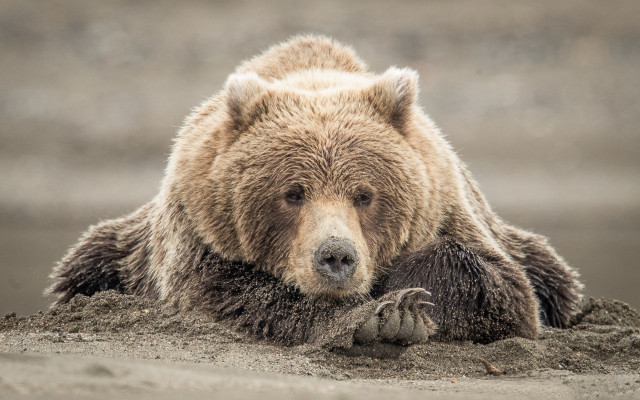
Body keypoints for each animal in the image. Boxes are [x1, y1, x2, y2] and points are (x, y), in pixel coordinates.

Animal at [46, 35, 583, 347]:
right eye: (293, 193)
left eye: (365, 194)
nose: (337, 256)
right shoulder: (197, 233)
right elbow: (233, 295)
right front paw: (381, 318)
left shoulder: (448, 209)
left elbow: (501, 289)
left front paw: (406, 299)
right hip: (120, 252)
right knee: (85, 268)